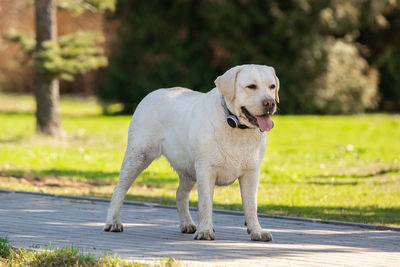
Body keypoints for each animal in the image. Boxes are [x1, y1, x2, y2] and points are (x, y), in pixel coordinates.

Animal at [104, 65, 280, 243]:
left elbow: (251, 205)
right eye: (251, 86)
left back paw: (187, 224)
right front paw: (205, 231)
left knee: (180, 194)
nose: (270, 102)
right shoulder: (205, 170)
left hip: (187, 170)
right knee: (119, 189)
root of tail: (151, 93)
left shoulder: (251, 172)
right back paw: (112, 222)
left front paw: (257, 231)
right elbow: (205, 204)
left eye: (272, 87)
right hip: (138, 156)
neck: (234, 125)